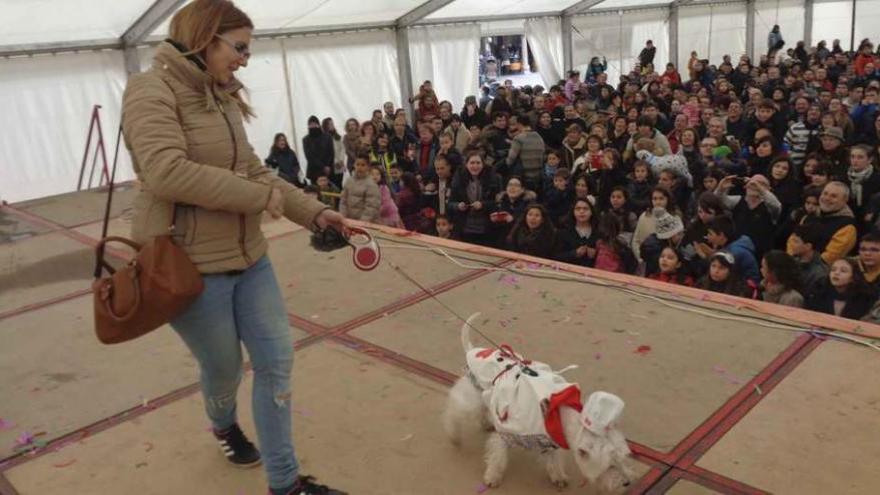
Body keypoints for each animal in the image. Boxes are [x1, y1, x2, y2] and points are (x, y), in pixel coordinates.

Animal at [444, 314, 636, 492]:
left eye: (623, 458)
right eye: (610, 465)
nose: (627, 483)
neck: (557, 413)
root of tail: (472, 351)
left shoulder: (549, 440)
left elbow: (554, 460)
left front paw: (558, 477)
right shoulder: (505, 432)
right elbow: (498, 457)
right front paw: (493, 477)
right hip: (471, 398)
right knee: (453, 411)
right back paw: (454, 436)